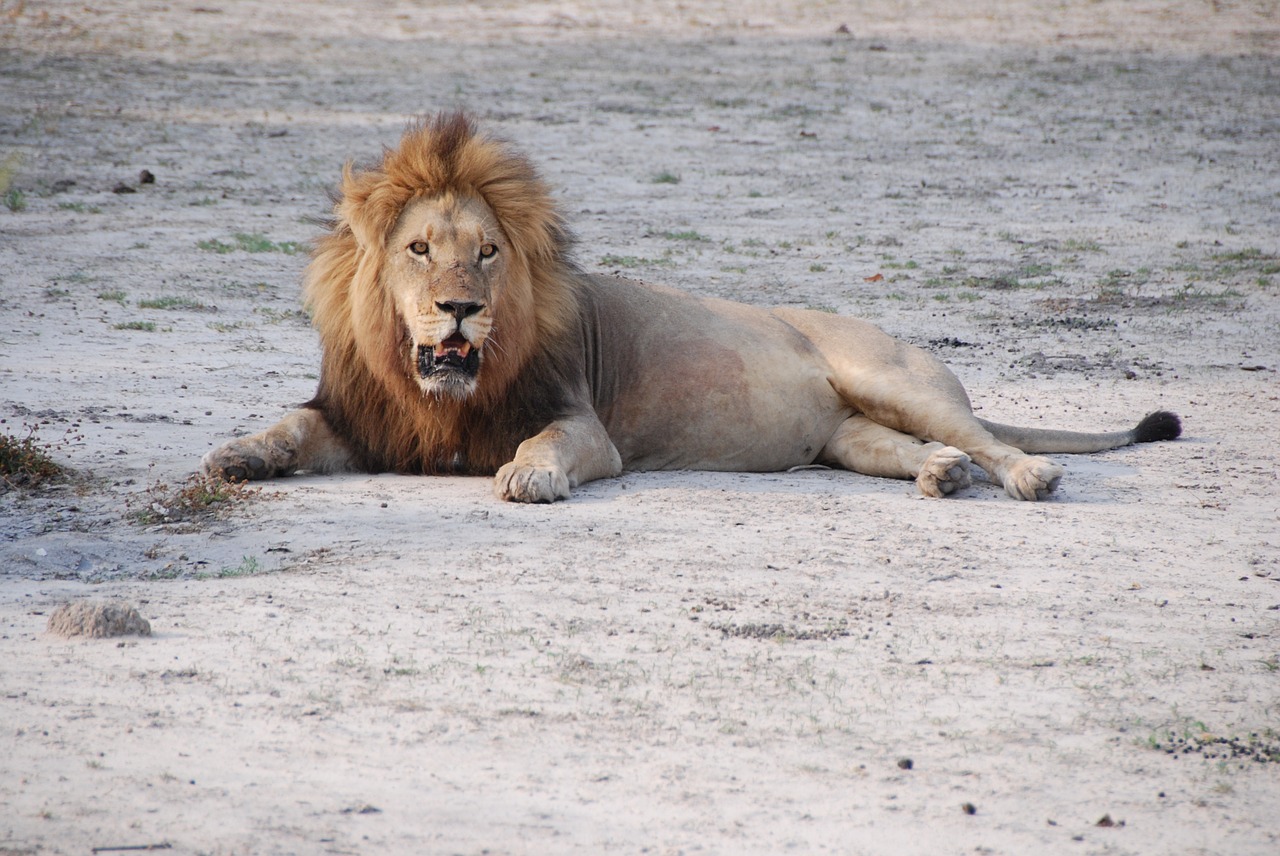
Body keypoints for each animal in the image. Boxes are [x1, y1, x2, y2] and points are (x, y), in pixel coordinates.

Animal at [202, 112, 1177, 501]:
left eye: (487, 252)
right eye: (417, 250)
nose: (458, 309)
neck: (435, 394)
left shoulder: (584, 426)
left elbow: (544, 444)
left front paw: (529, 476)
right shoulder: (366, 421)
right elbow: (288, 426)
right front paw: (235, 456)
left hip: (894, 377)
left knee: (988, 437)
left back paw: (1026, 475)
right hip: (848, 434)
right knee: (912, 448)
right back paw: (941, 474)